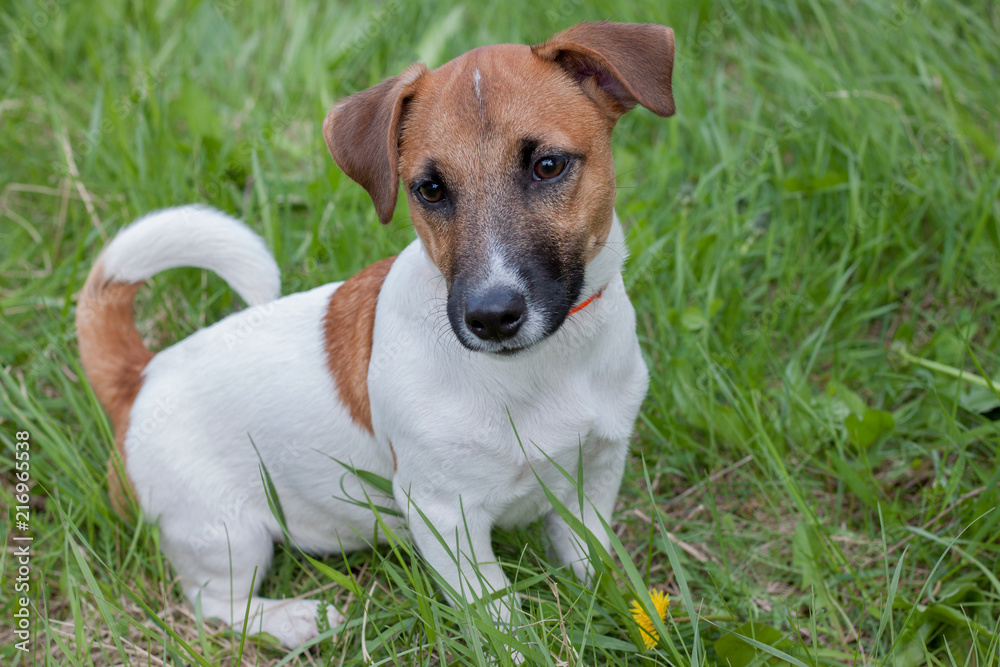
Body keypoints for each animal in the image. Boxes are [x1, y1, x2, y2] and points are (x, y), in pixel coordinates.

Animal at [76, 22, 672, 652]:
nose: (489, 316)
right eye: (430, 189)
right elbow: (500, 617)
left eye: (549, 165)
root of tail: (139, 377)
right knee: (214, 605)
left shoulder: (595, 474)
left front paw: (618, 609)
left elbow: (591, 559)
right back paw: (294, 620)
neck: (542, 367)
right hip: (224, 532)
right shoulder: (445, 515)